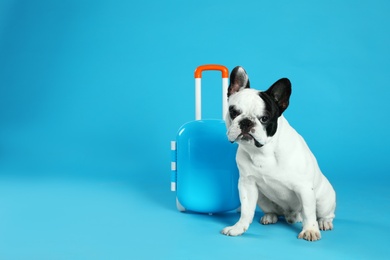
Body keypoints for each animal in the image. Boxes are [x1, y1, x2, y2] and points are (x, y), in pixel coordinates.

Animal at [221, 66, 336, 242]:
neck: (263, 151)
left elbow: (309, 212)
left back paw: (324, 222)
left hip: (324, 199)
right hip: (262, 197)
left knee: (323, 213)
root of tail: (291, 215)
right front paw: (238, 228)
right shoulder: (247, 184)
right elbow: (246, 211)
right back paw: (270, 216)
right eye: (233, 112)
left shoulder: (304, 188)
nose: (246, 122)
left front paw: (310, 229)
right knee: (273, 211)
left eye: (264, 118)